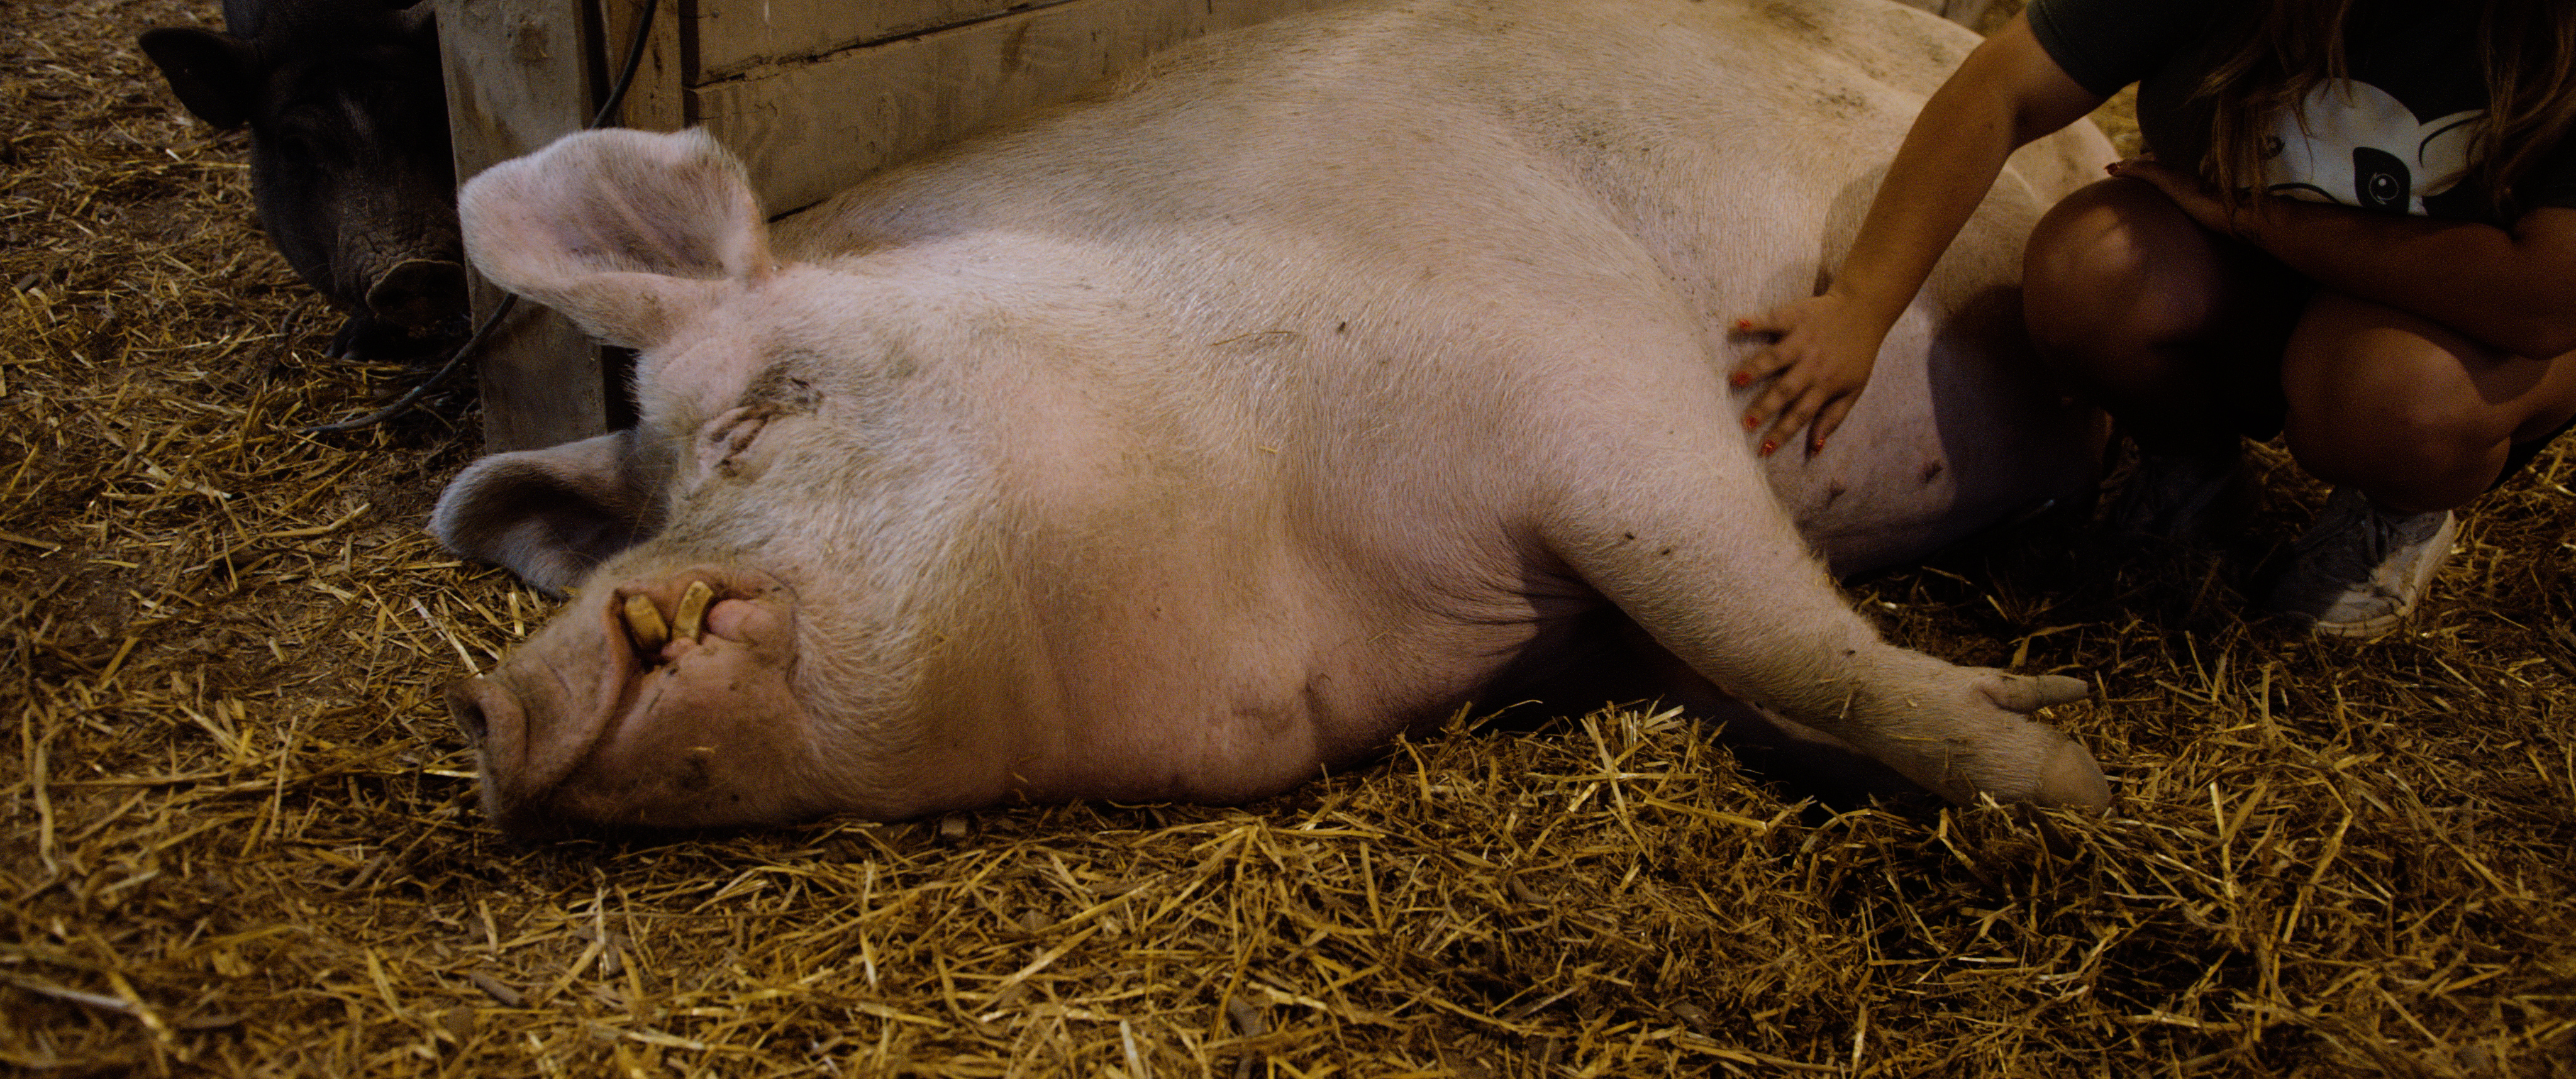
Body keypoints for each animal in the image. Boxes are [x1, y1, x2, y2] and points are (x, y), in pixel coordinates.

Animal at [430, 0, 2121, 836]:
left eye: (750, 425)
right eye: (644, 505)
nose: (496, 704)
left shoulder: (1591, 360)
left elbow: (1777, 638)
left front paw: (2073, 773)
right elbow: (1746, 671)